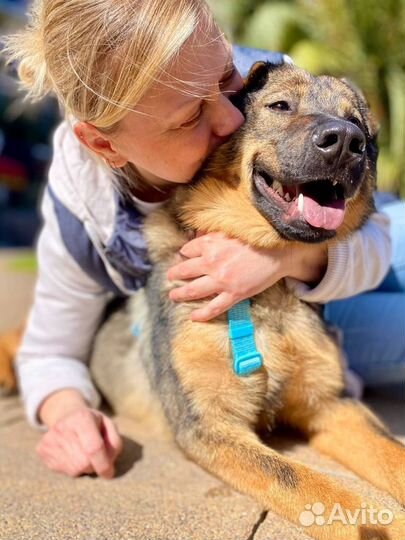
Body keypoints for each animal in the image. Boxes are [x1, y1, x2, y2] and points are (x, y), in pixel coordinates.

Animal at [79, 61, 404, 536]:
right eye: (280, 105)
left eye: (357, 124)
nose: (347, 141)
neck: (267, 296)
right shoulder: (211, 426)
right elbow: (303, 481)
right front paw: (377, 525)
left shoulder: (330, 404)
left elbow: (392, 453)